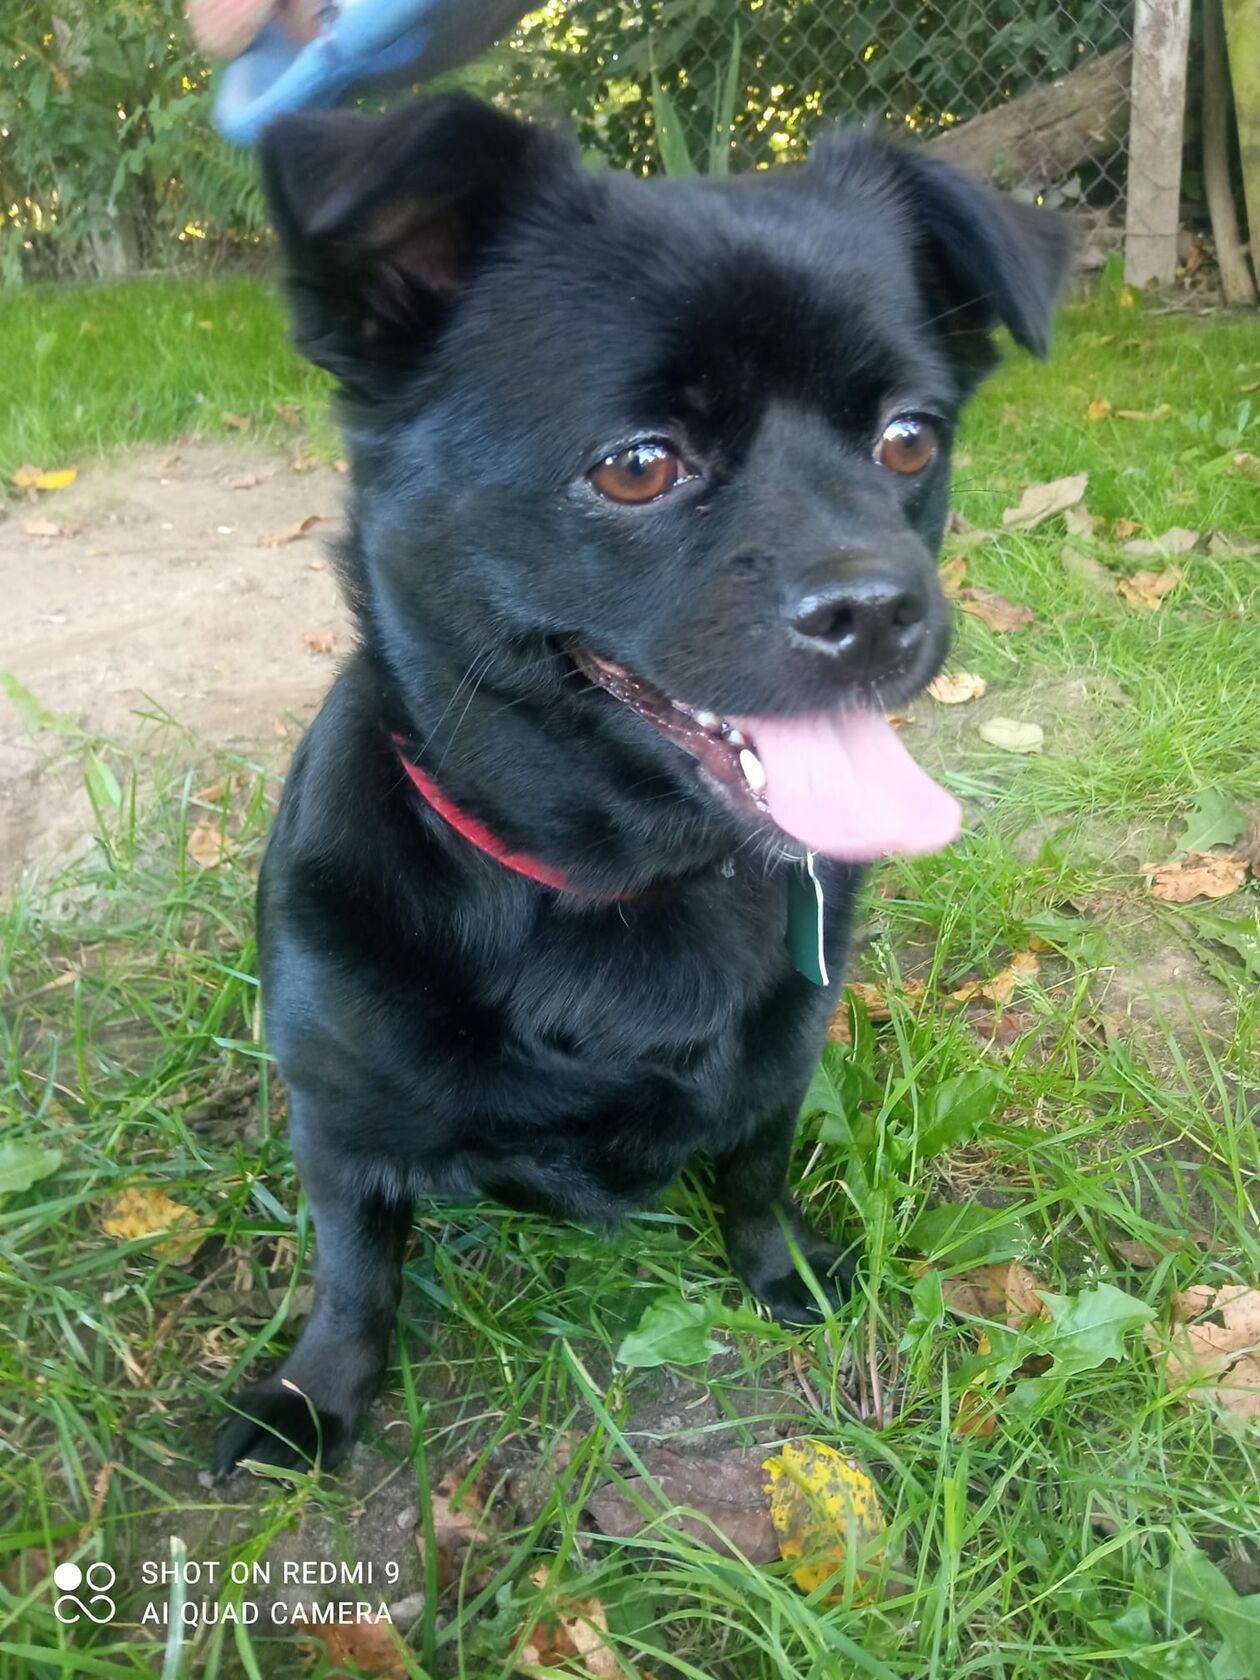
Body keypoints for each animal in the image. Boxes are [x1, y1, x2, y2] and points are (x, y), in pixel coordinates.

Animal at [214, 94, 1068, 1476]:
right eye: (635, 466)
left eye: (909, 440)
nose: (883, 607)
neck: (620, 887)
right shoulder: (337, 1130)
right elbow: (355, 1275)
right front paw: (317, 1395)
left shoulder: (779, 1070)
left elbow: (755, 1180)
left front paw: (782, 1274)